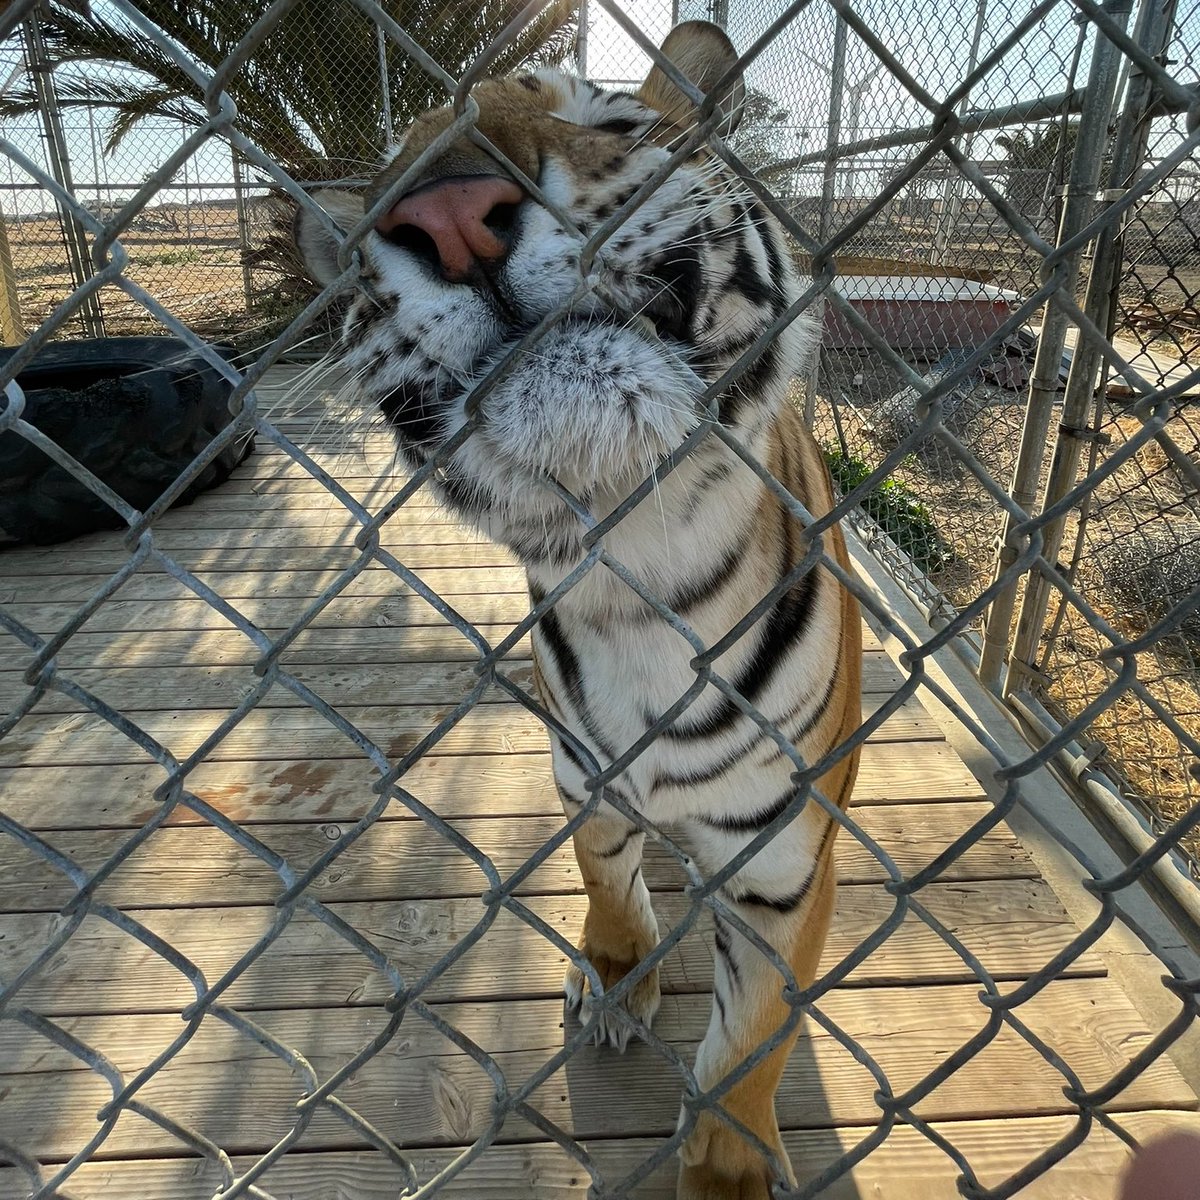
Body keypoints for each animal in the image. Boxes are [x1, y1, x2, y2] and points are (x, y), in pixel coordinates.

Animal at [295, 21, 862, 1199]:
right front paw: (611, 977)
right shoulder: (583, 776)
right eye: (379, 205)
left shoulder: (784, 867)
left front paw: (727, 1169)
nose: (451, 214)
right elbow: (603, 878)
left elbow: (752, 1045)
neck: (637, 571)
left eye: (613, 118)